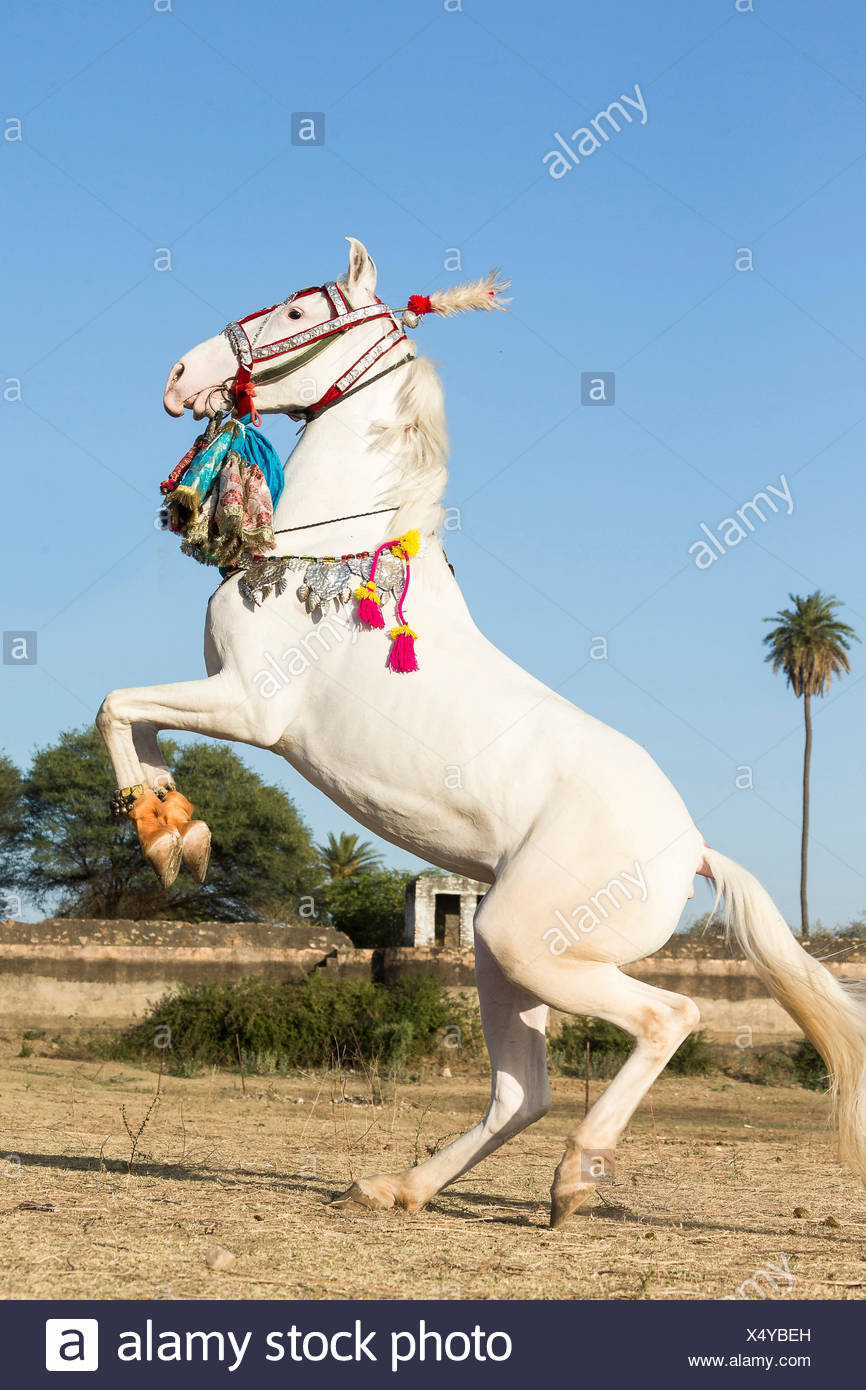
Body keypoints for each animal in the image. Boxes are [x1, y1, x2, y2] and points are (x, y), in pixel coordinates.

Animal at [97, 237, 866, 1226]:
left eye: (302, 310)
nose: (179, 376)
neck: (329, 554)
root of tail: (691, 848)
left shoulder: (248, 708)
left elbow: (119, 703)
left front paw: (165, 841)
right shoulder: (222, 700)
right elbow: (139, 726)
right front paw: (177, 830)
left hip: (526, 943)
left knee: (667, 1020)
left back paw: (573, 1177)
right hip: (502, 957)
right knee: (521, 1091)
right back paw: (396, 1186)